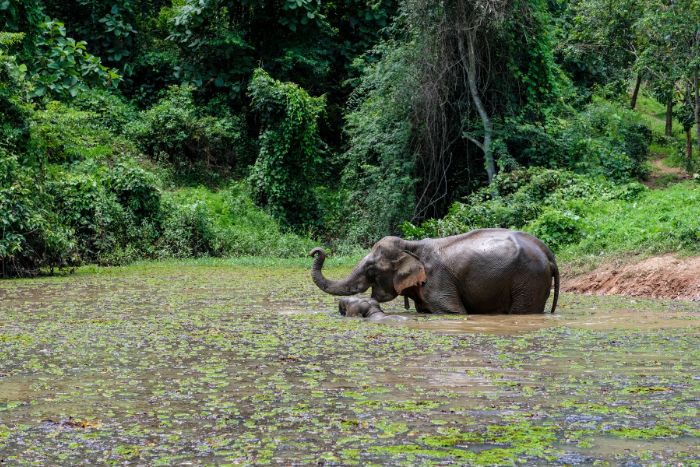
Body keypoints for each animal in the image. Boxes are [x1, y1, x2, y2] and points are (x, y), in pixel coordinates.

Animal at [308, 228, 560, 314]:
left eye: (371, 269)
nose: (316, 251)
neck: (411, 245)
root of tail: (549, 254)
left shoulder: (438, 282)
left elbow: (453, 312)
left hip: (529, 280)